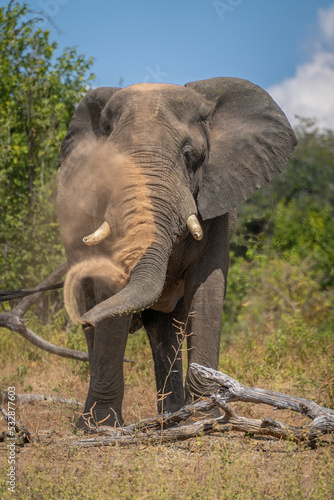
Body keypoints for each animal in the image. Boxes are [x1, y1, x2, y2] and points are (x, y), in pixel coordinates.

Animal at [56, 77, 296, 430]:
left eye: (189, 155)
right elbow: (110, 287)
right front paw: (102, 427)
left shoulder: (218, 205)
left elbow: (207, 289)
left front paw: (207, 417)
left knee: (165, 329)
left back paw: (171, 419)